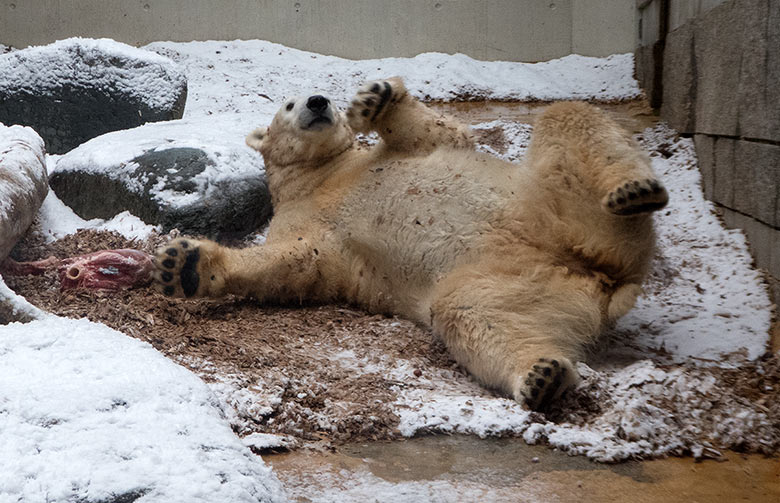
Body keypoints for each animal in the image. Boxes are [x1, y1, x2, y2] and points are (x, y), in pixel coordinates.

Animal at [154, 77, 672, 412]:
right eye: (286, 105)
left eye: (325, 97)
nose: (319, 102)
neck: (323, 177)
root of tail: (604, 274)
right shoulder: (308, 227)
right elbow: (294, 265)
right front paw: (186, 264)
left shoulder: (380, 159)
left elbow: (441, 135)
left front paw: (376, 97)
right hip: (523, 274)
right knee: (474, 313)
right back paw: (541, 375)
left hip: (545, 200)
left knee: (568, 116)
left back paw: (635, 191)